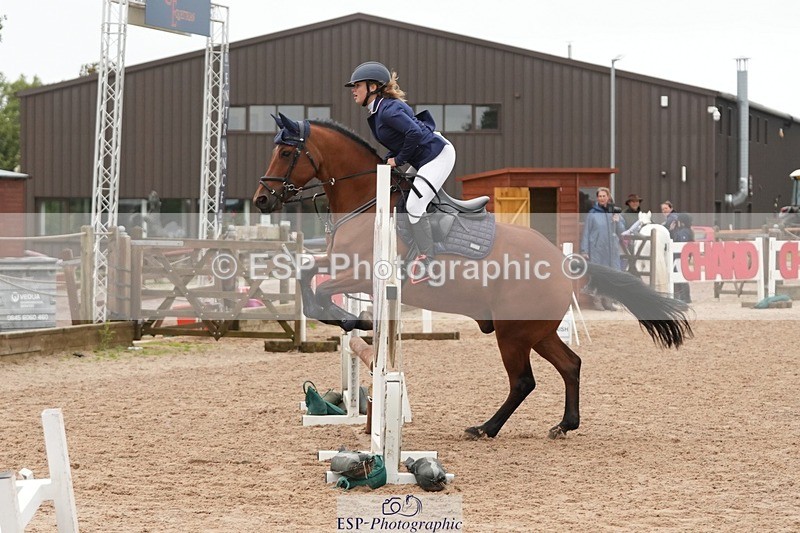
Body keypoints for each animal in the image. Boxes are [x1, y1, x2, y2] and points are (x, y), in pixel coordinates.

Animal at [253, 113, 693, 440]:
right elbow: (307, 273)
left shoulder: (361, 274)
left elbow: (322, 289)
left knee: (524, 382)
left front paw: (350, 319)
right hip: (535, 331)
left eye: (287, 151)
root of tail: (565, 264)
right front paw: (348, 320)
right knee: (570, 364)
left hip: (513, 333)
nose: (261, 199)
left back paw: (485, 428)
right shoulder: (337, 261)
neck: (366, 198)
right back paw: (564, 424)